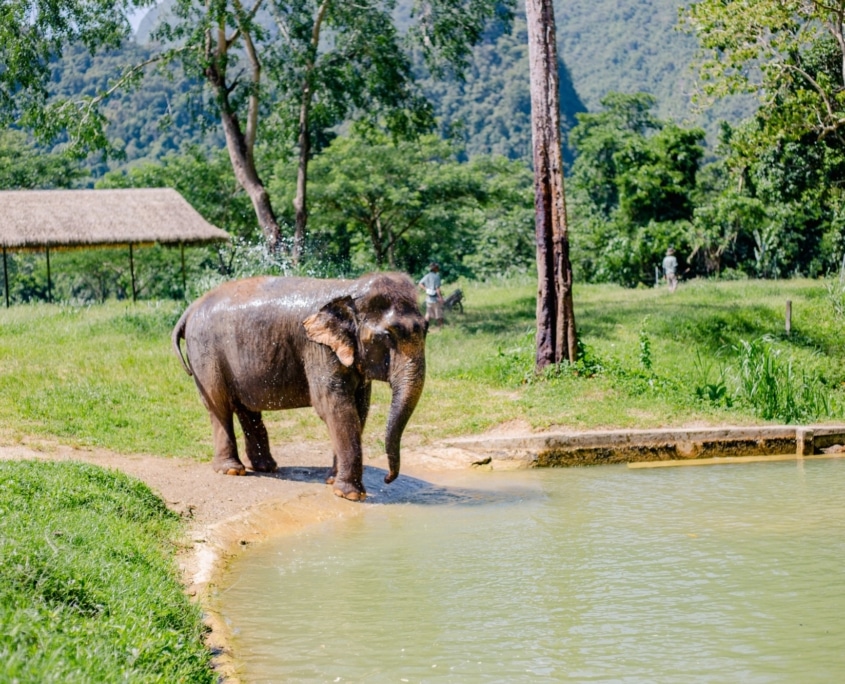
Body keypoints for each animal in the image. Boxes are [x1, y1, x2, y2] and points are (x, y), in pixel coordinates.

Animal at [171, 272, 427, 501]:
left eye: (426, 329)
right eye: (386, 336)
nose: (388, 479)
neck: (350, 289)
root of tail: (191, 307)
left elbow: (359, 408)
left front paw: (332, 481)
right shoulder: (318, 349)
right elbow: (333, 406)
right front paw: (350, 495)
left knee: (246, 409)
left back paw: (266, 467)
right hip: (206, 353)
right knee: (220, 406)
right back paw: (233, 470)